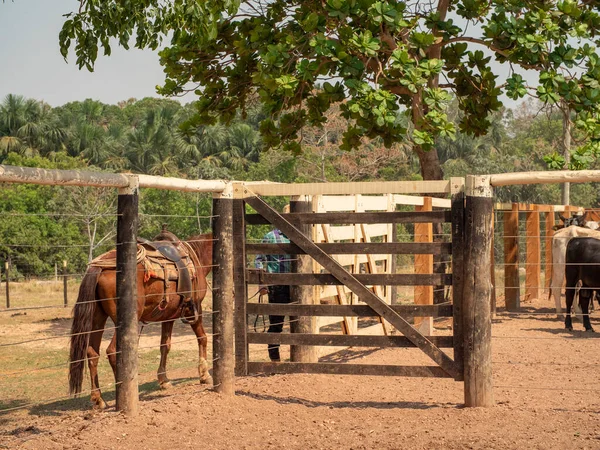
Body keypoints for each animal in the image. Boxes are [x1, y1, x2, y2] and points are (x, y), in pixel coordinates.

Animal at [68, 232, 213, 408]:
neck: (196, 256)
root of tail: (100, 267)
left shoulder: (168, 316)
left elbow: (165, 346)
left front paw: (164, 380)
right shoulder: (194, 309)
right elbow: (202, 338)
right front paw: (205, 375)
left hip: (98, 318)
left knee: (92, 353)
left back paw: (99, 399)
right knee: (112, 351)